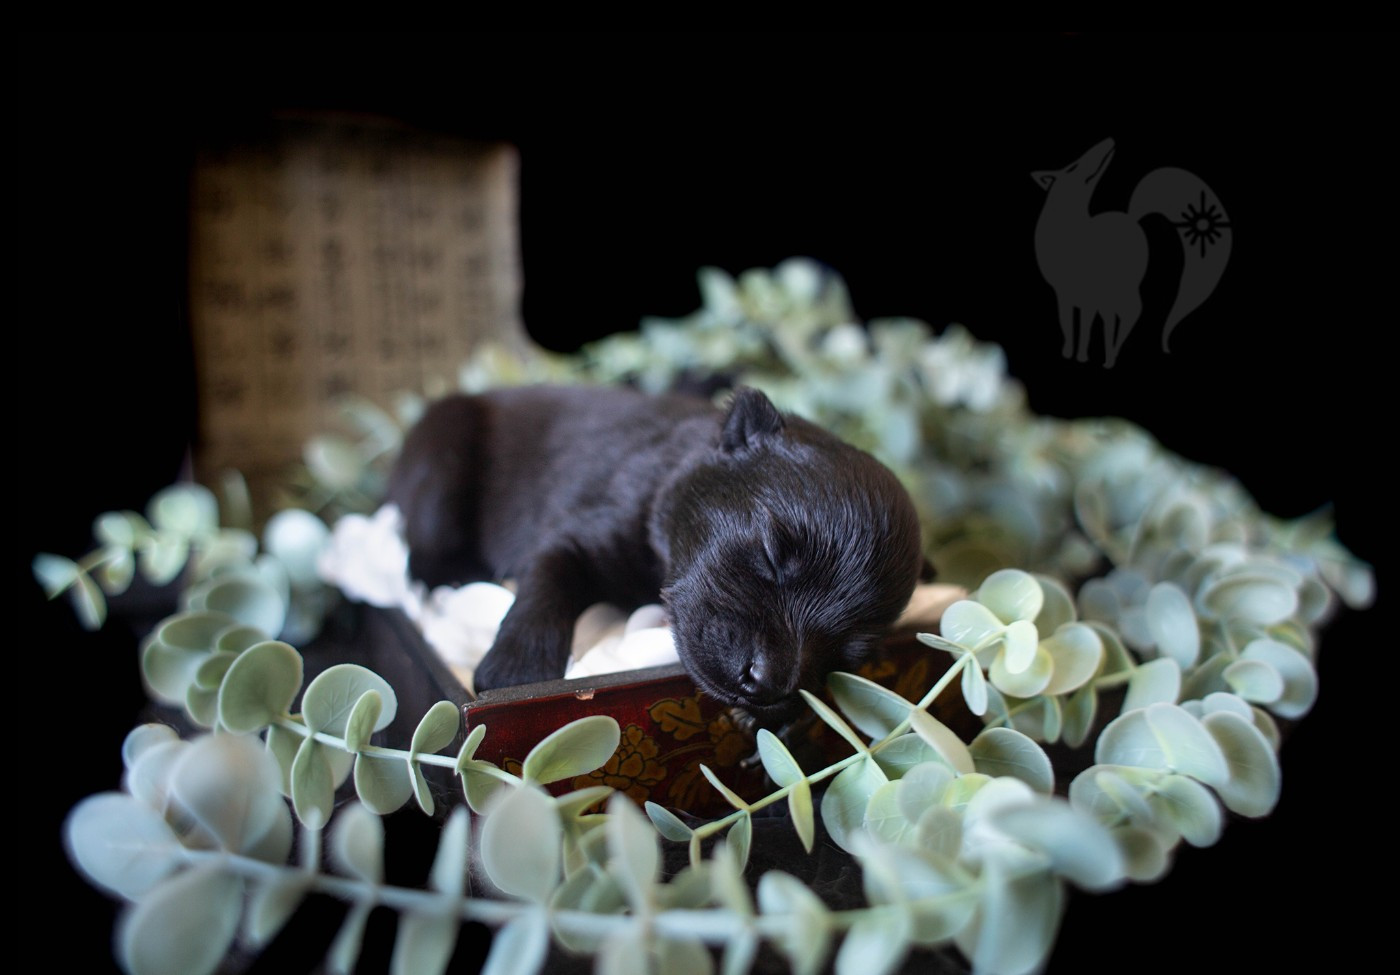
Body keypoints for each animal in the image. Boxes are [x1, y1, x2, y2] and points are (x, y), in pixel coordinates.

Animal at [387, 384, 924, 723]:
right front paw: (517, 671)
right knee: (419, 551)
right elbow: (548, 580)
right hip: (442, 456)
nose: (766, 683)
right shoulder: (580, 529)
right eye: (772, 553)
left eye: (853, 653)